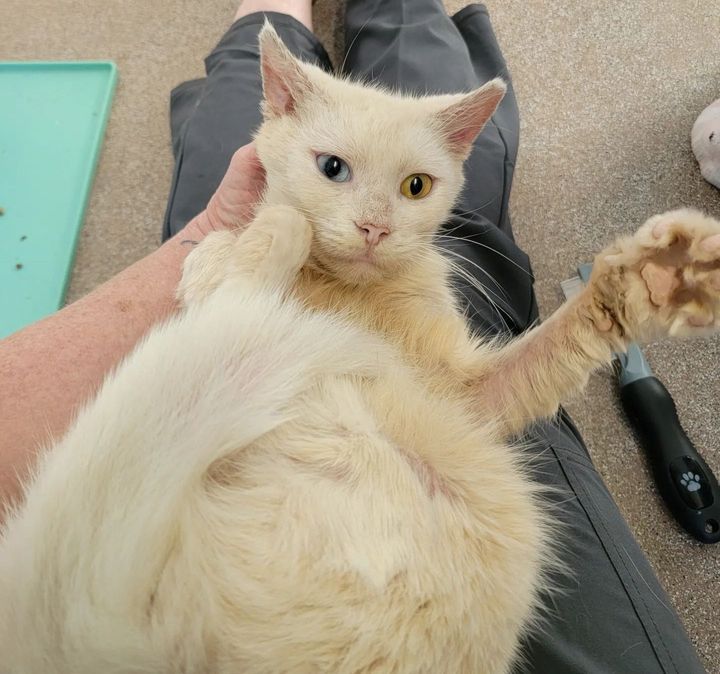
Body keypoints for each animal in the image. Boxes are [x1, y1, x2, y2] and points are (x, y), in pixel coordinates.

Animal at [1, 22, 720, 672]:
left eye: (415, 187)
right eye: (333, 169)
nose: (374, 228)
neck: (347, 295)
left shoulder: (475, 400)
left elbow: (557, 342)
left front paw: (654, 277)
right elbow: (240, 246)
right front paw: (243, 237)